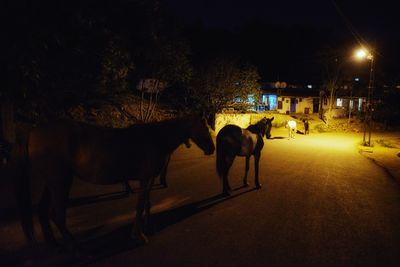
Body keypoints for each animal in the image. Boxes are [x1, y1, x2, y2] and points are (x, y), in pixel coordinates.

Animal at [18, 116, 216, 250]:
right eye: (205, 129)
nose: (212, 149)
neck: (156, 137)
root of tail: (34, 130)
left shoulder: (149, 179)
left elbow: (147, 204)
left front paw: (148, 228)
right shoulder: (146, 178)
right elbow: (139, 205)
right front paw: (139, 235)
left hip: (51, 183)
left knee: (43, 212)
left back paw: (54, 244)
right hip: (60, 183)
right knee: (58, 216)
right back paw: (75, 247)